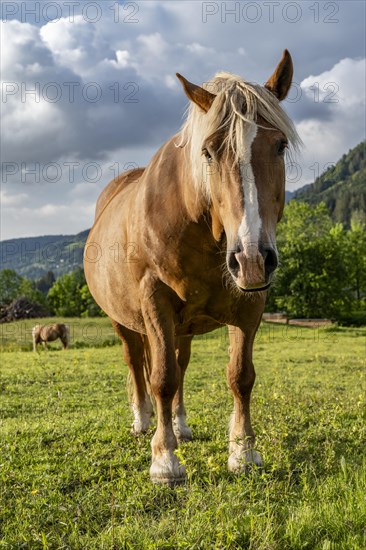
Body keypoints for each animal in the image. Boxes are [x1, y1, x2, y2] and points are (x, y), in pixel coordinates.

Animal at [85, 49, 300, 486]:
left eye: (280, 145)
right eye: (209, 152)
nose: (252, 258)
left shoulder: (250, 304)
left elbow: (240, 376)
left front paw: (243, 452)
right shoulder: (155, 302)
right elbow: (162, 379)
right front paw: (165, 461)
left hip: (182, 326)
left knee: (180, 363)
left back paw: (180, 425)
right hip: (125, 321)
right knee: (138, 364)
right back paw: (143, 420)